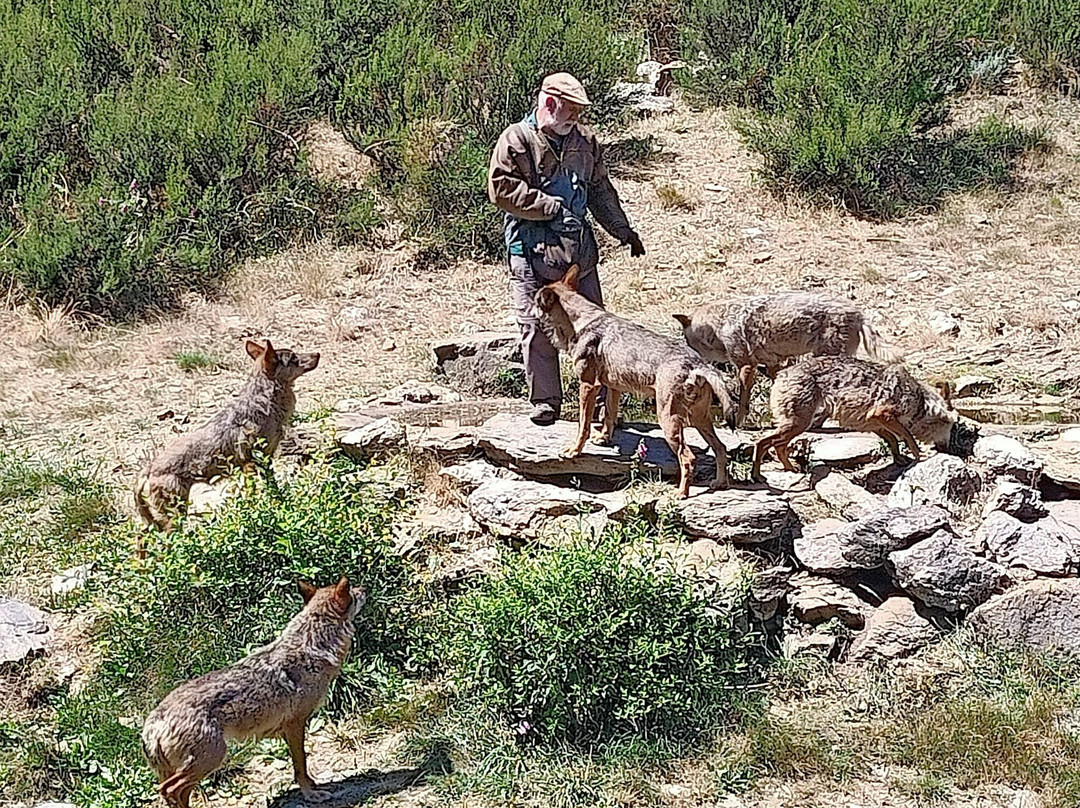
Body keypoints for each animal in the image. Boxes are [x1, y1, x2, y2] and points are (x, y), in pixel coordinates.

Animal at [133, 339, 315, 529]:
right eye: (294, 358)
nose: (317, 354)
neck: (265, 403)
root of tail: (146, 471)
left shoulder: (257, 462)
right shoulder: (254, 461)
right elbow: (268, 491)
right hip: (175, 517)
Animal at [142, 578, 367, 803]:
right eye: (353, 592)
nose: (365, 588)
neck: (312, 645)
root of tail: (153, 721)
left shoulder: (286, 730)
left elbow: (299, 765)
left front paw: (312, 785)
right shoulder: (295, 724)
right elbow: (301, 763)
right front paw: (310, 794)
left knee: (175, 792)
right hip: (211, 759)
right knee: (169, 789)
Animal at [531, 264, 734, 494]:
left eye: (535, 302)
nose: (525, 313)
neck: (580, 322)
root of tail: (698, 364)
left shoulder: (588, 386)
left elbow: (583, 425)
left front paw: (574, 451)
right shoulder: (612, 387)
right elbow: (609, 416)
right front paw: (603, 438)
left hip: (669, 421)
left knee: (688, 458)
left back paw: (681, 493)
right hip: (700, 420)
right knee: (720, 448)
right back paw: (719, 483)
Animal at [673, 291, 902, 429]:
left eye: (688, 341)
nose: (687, 355)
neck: (720, 325)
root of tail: (859, 314)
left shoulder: (746, 366)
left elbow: (744, 401)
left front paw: (738, 422)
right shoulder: (772, 364)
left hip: (825, 361)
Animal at [751, 354, 963, 479]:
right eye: (951, 425)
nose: (949, 449)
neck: (920, 402)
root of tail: (782, 374)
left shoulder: (875, 425)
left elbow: (894, 441)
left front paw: (899, 459)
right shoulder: (883, 415)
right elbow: (908, 438)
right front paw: (918, 457)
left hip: (795, 426)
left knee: (777, 446)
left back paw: (791, 470)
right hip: (798, 424)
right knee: (763, 443)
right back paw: (757, 475)